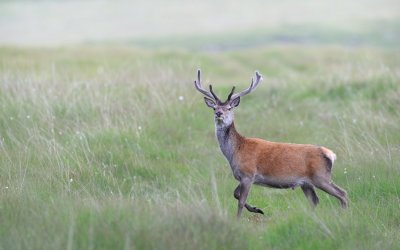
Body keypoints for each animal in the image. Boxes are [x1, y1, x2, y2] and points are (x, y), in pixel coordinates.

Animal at [194, 69, 346, 218]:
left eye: (230, 108)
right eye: (214, 108)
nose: (219, 113)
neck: (235, 151)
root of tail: (330, 154)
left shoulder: (248, 174)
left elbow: (240, 200)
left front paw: (239, 218)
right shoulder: (243, 177)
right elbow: (235, 194)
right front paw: (257, 209)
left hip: (321, 177)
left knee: (342, 193)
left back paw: (344, 213)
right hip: (306, 183)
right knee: (315, 200)